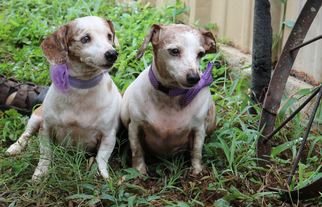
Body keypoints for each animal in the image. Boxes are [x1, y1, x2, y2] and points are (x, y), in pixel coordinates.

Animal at [6, 16, 122, 180]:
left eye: (109, 36)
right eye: (85, 38)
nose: (112, 54)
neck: (82, 88)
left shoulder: (109, 136)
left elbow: (101, 158)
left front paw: (103, 175)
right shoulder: (45, 128)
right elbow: (46, 154)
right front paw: (40, 173)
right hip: (36, 117)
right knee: (26, 134)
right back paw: (15, 147)